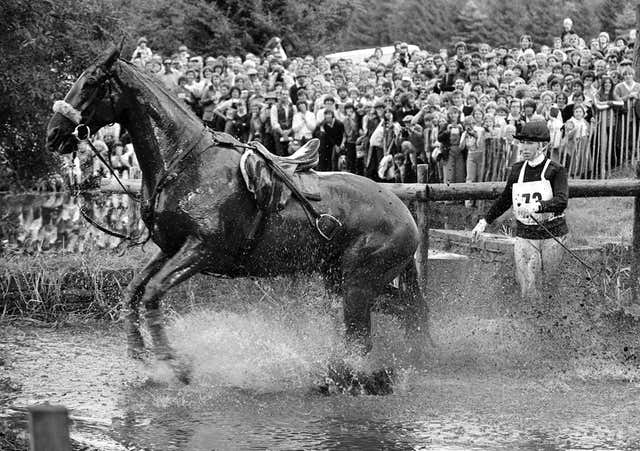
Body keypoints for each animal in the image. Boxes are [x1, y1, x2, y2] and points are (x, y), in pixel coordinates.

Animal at [47, 46, 432, 384]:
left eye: (92, 82)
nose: (54, 134)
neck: (184, 163)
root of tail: (404, 212)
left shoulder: (201, 249)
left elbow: (153, 293)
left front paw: (174, 363)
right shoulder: (170, 248)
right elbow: (133, 291)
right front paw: (140, 353)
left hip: (358, 284)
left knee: (362, 338)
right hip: (343, 281)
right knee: (409, 311)